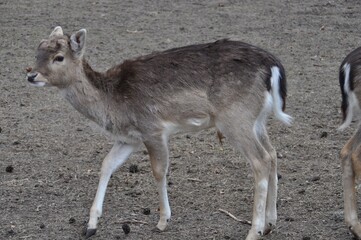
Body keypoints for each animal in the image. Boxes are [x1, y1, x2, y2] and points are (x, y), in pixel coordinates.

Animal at [27, 26, 292, 240]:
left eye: (59, 57)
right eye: (37, 50)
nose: (31, 74)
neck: (112, 103)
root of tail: (273, 66)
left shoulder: (153, 129)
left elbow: (158, 171)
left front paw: (163, 220)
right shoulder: (129, 139)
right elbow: (106, 165)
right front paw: (91, 225)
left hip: (235, 119)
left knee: (260, 160)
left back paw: (254, 230)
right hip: (257, 120)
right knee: (272, 154)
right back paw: (270, 222)